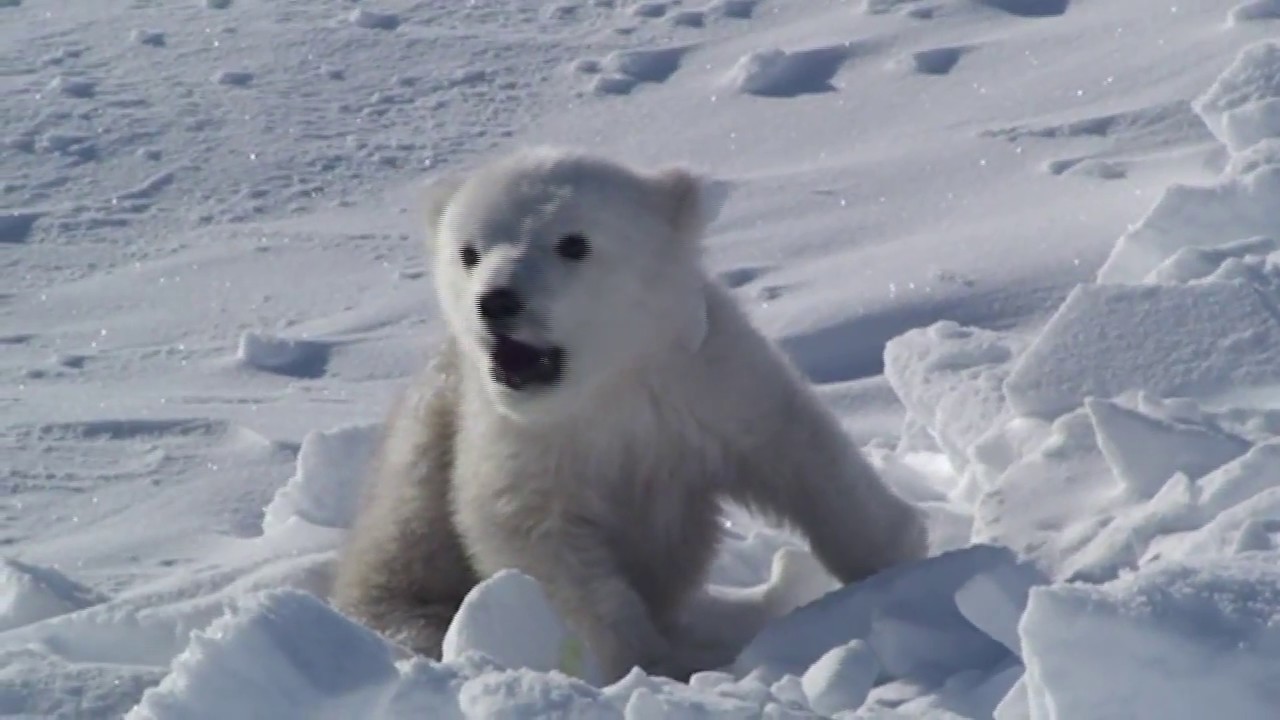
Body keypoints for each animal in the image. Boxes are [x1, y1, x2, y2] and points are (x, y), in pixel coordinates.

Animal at [331, 146, 929, 683]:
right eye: (469, 252)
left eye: (573, 242)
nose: (496, 301)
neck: (605, 387)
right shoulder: (518, 439)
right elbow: (541, 541)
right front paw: (653, 660)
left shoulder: (707, 379)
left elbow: (800, 451)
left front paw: (901, 557)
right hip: (422, 446)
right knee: (398, 543)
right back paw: (417, 625)